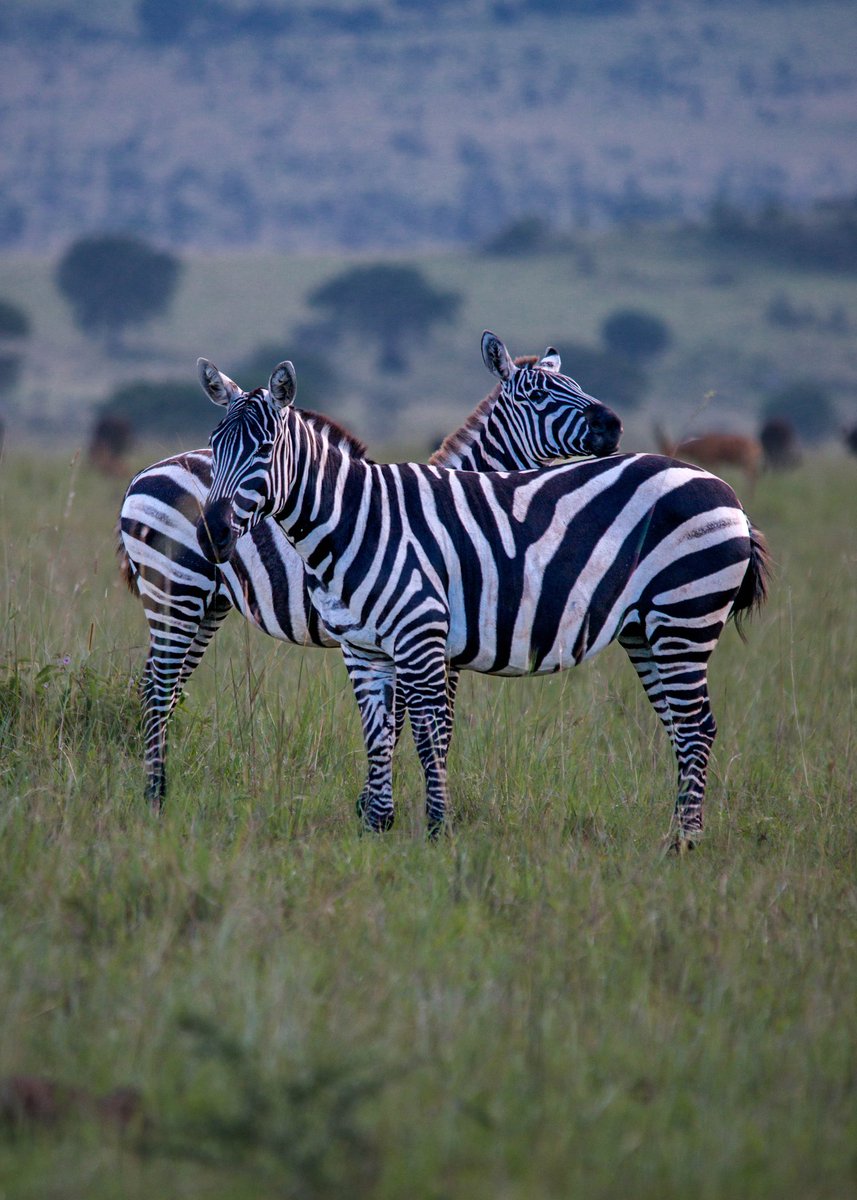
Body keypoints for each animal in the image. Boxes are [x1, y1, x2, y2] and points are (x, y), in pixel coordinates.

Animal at [119, 333, 622, 807]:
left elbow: (416, 721)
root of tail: (144, 471)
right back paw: (154, 796)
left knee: (164, 687)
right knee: (156, 688)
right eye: (537, 396)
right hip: (175, 592)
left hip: (207, 605)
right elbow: (411, 721)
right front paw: (375, 801)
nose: (613, 425)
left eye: (576, 384)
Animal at [196, 357, 770, 849]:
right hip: (648, 631)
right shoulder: (364, 650)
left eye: (265, 448)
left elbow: (429, 736)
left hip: (684, 616)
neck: (354, 520)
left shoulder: (421, 636)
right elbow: (378, 736)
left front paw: (436, 831)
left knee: (696, 728)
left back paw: (684, 843)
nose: (213, 533)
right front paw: (376, 830)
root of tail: (726, 492)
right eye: (214, 445)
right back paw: (677, 832)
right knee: (681, 727)